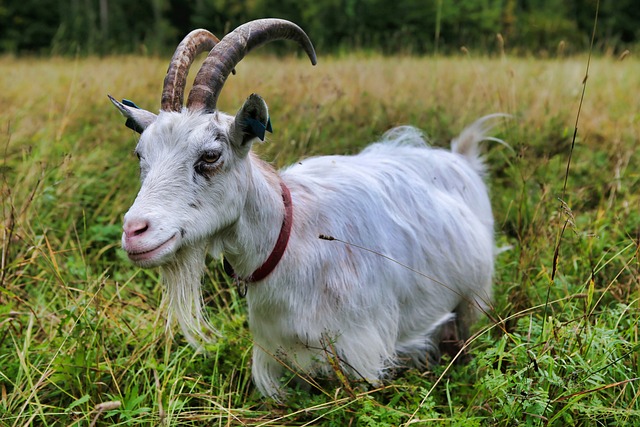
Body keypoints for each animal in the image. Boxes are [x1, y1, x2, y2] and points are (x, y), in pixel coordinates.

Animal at [110, 18, 500, 400]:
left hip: (473, 299)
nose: (135, 232)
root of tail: (461, 159)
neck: (288, 240)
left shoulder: (362, 355)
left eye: (210, 156)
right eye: (141, 155)